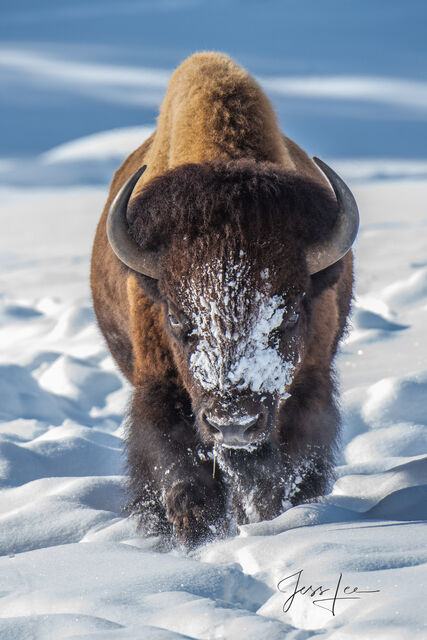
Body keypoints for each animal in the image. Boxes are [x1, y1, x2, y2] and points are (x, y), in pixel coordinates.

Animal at [92, 52, 360, 548]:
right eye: (178, 319)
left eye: (289, 315)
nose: (233, 423)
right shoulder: (159, 390)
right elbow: (181, 475)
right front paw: (195, 538)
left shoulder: (306, 391)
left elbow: (281, 475)